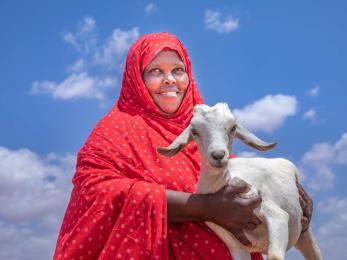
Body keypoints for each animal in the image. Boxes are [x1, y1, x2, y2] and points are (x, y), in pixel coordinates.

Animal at [156, 102, 322, 260]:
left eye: (233, 127)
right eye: (195, 131)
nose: (218, 155)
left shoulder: (276, 215)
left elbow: (275, 255)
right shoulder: (233, 243)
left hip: (304, 232)